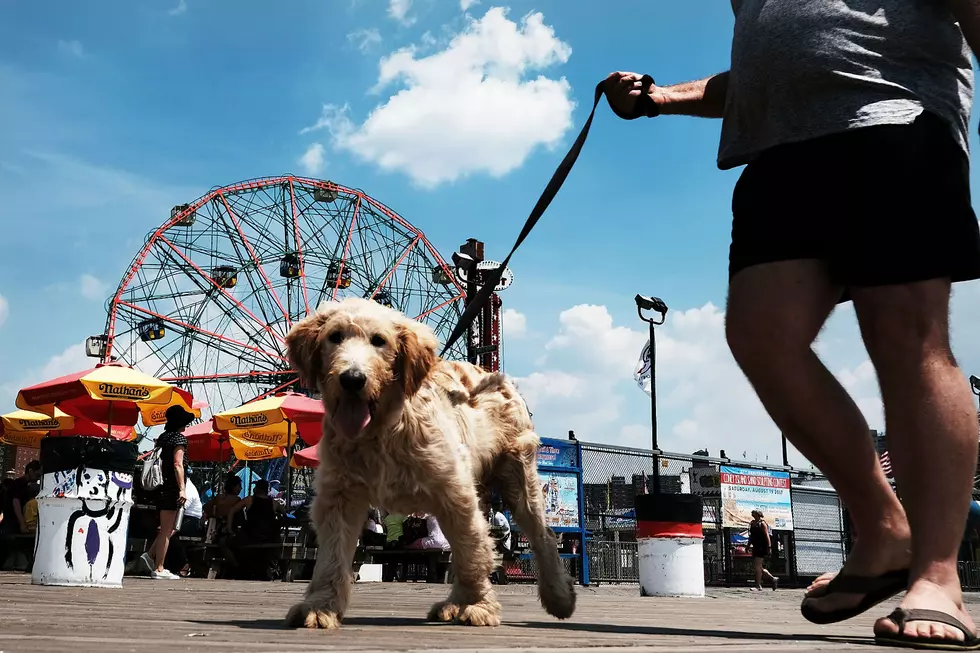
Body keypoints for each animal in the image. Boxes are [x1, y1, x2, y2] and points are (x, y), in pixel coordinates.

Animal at [282, 298, 576, 628]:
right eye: (334, 337)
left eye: (379, 341)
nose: (352, 379)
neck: (383, 429)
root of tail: (496, 376)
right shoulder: (338, 496)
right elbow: (332, 555)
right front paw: (320, 607)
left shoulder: (454, 490)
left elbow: (472, 550)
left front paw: (476, 605)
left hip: (518, 475)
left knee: (542, 535)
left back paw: (558, 596)